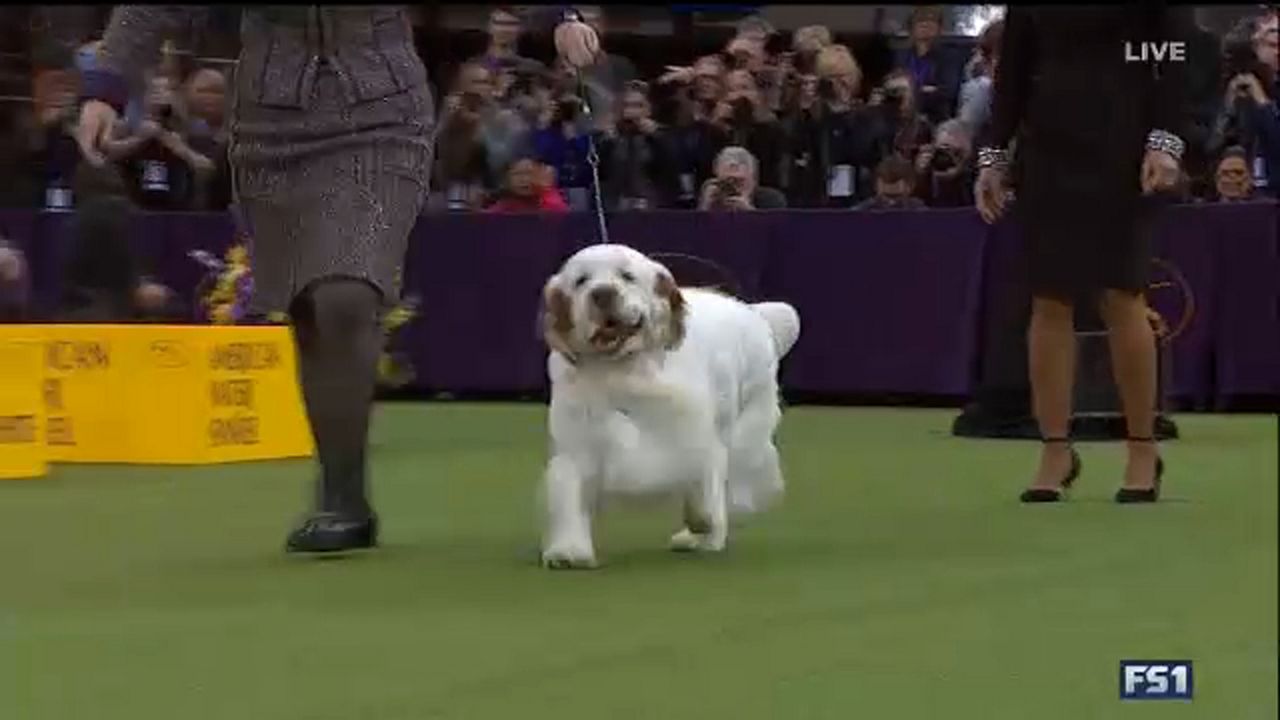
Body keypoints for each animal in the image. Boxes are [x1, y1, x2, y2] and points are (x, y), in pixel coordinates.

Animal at [540, 243, 798, 568]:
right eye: (581, 281)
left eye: (627, 276)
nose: (602, 294)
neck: (623, 372)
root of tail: (753, 311)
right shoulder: (579, 442)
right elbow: (570, 492)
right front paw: (569, 550)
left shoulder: (694, 434)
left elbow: (702, 484)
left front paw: (703, 520)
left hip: (745, 429)